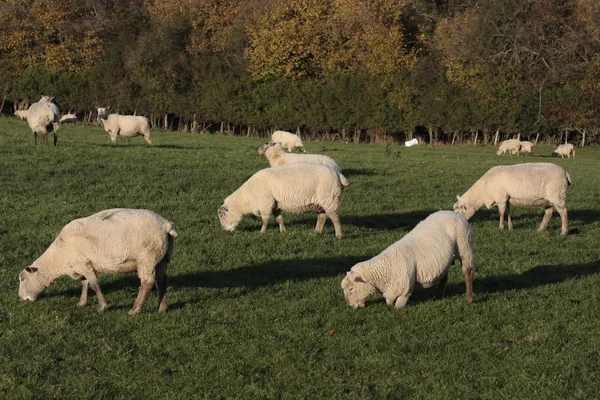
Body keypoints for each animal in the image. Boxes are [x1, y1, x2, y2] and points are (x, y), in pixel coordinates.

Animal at [17, 208, 177, 314]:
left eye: (22, 279)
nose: (20, 298)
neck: (58, 257)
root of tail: (166, 225)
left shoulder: (82, 263)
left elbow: (94, 284)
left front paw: (102, 307)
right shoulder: (83, 263)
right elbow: (84, 283)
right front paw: (82, 303)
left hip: (147, 257)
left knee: (147, 282)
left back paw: (135, 309)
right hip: (162, 256)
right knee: (161, 280)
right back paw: (162, 308)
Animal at [218, 162, 346, 238]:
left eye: (222, 215)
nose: (224, 230)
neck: (247, 198)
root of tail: (338, 174)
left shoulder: (266, 204)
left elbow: (265, 220)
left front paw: (262, 232)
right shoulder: (275, 204)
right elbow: (279, 218)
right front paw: (283, 231)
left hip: (330, 199)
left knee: (335, 218)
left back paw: (339, 235)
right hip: (320, 202)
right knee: (322, 217)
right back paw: (317, 232)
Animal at [342, 212, 474, 310]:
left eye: (351, 289)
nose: (349, 306)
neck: (385, 269)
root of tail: (455, 213)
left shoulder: (404, 292)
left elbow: (397, 307)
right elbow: (389, 302)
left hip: (464, 246)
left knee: (467, 272)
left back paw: (469, 299)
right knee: (444, 277)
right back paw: (438, 296)